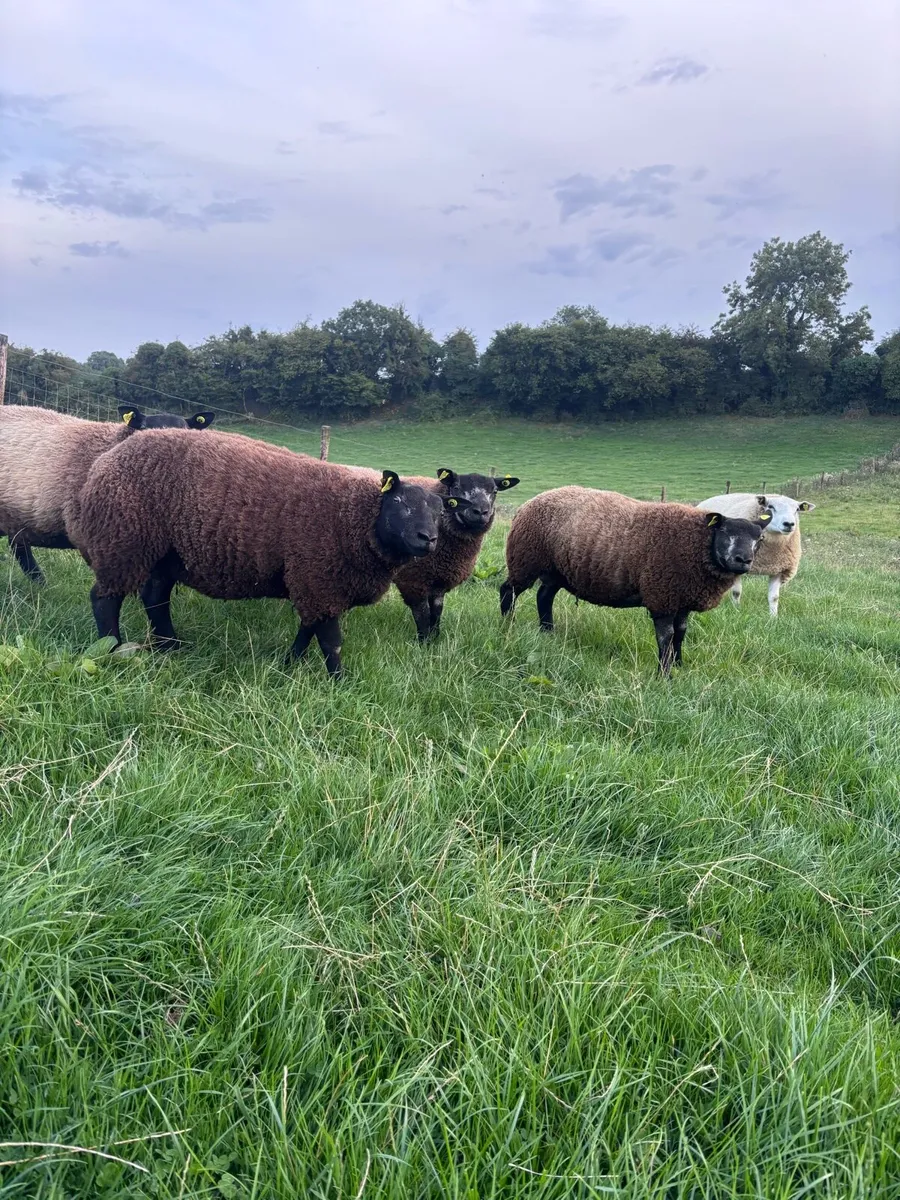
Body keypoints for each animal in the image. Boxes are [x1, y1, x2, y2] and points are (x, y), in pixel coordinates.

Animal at [64, 428, 445, 677]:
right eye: (400, 502)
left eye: (440, 511)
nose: (429, 538)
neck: (354, 516)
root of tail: (105, 461)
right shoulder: (319, 578)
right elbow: (331, 641)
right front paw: (339, 680)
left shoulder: (312, 583)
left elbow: (308, 630)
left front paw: (290, 664)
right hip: (123, 542)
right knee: (104, 598)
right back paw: (113, 648)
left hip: (164, 553)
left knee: (155, 597)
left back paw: (170, 646)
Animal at [499, 486, 771, 673]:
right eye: (724, 532)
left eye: (759, 539)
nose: (743, 559)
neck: (698, 543)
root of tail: (530, 502)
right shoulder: (662, 595)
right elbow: (666, 636)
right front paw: (664, 674)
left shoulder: (682, 596)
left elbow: (681, 632)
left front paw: (679, 665)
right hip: (525, 558)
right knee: (508, 590)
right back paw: (507, 625)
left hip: (556, 570)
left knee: (544, 597)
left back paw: (547, 632)